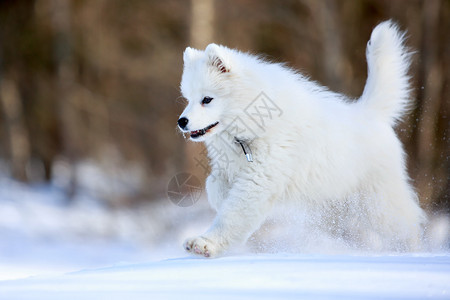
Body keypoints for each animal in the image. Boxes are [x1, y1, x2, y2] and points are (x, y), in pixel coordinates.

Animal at [177, 21, 426, 256]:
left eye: (207, 99)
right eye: (188, 99)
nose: (182, 121)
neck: (251, 126)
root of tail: (372, 113)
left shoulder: (257, 181)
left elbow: (231, 215)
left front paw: (205, 244)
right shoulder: (229, 170)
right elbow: (214, 186)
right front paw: (219, 201)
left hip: (379, 204)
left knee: (409, 223)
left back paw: (412, 251)